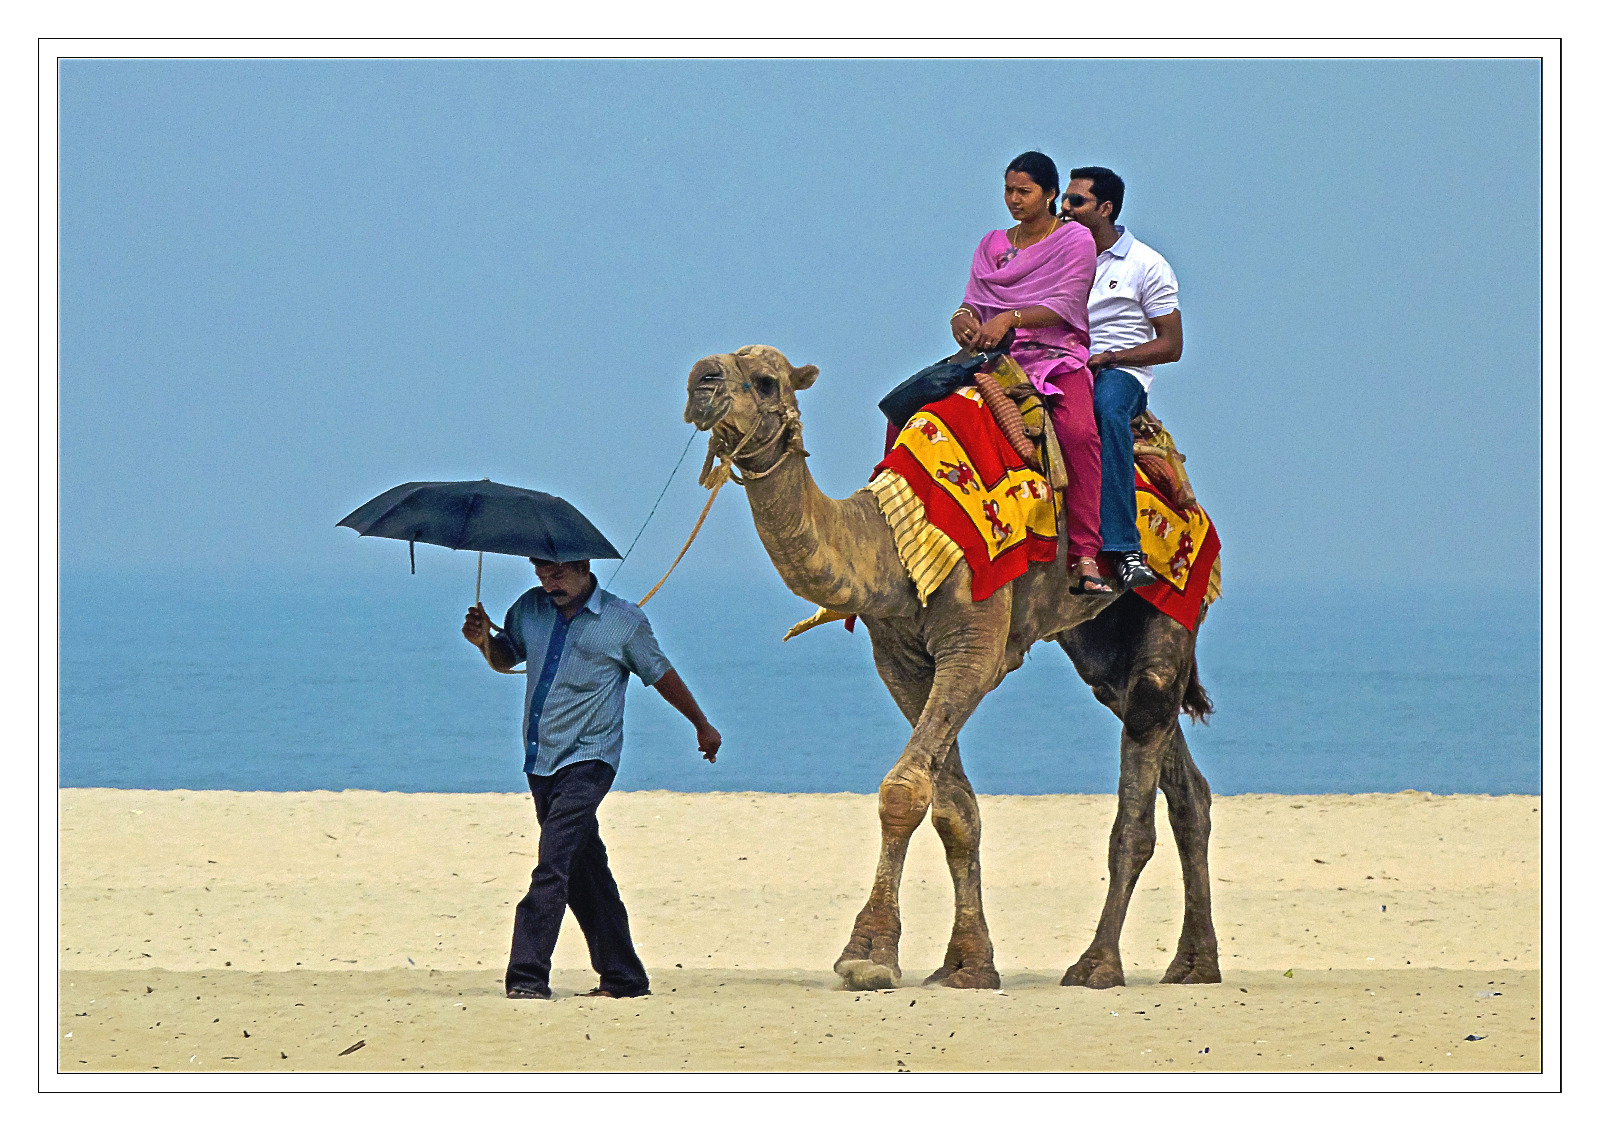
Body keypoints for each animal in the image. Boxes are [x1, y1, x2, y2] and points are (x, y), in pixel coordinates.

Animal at [684, 345, 1220, 991]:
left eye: (765, 381)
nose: (701, 380)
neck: (894, 539)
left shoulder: (974, 644)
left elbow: (903, 790)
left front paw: (867, 954)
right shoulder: (900, 661)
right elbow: (954, 808)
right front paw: (967, 964)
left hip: (1174, 596)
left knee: (1145, 746)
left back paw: (1097, 965)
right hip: (1100, 638)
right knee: (1179, 776)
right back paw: (1195, 963)